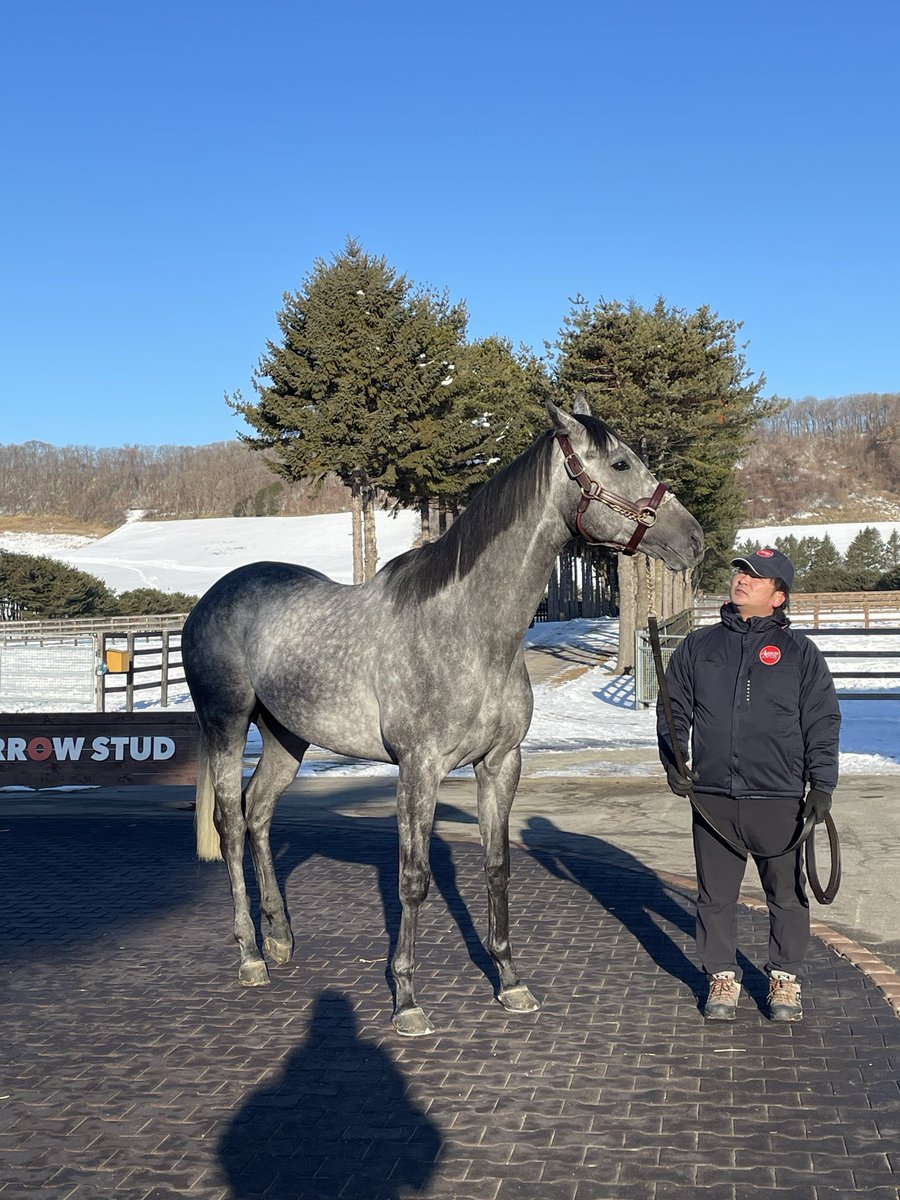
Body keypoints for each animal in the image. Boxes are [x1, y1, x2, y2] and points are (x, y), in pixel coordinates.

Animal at [182, 395, 704, 1036]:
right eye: (621, 462)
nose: (694, 538)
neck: (469, 629)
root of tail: (209, 601)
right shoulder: (419, 768)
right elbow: (413, 879)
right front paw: (407, 1000)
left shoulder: (501, 764)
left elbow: (498, 867)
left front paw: (510, 981)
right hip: (226, 725)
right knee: (231, 826)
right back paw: (251, 956)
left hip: (287, 737)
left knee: (259, 815)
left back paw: (280, 938)